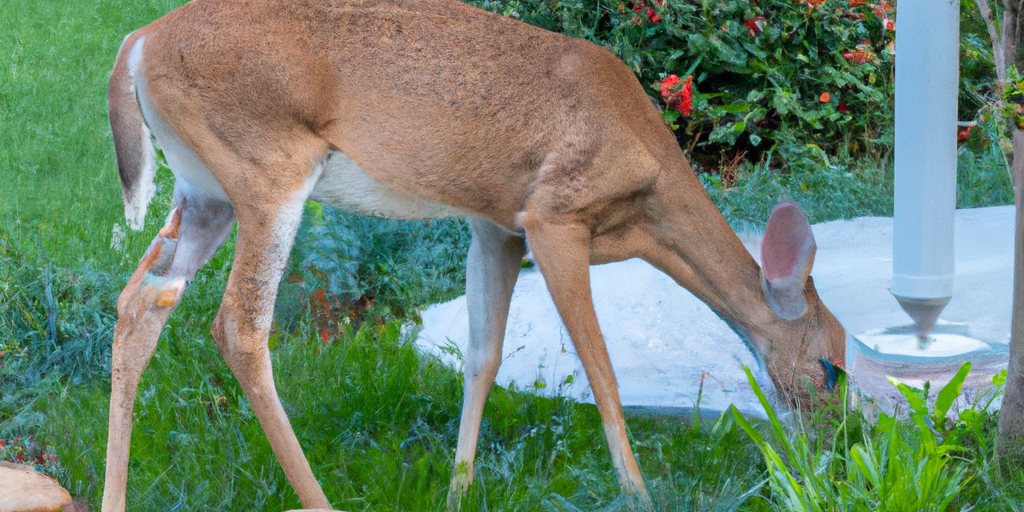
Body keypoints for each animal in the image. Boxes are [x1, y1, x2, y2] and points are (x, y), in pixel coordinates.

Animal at [103, 0, 847, 510]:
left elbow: (483, 355)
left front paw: (459, 488)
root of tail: (136, 44)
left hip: (203, 190)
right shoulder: (554, 217)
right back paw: (319, 500)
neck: (647, 196)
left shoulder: (496, 228)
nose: (831, 448)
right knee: (238, 326)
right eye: (830, 368)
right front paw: (635, 492)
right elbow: (600, 368)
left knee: (141, 299)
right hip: (267, 169)